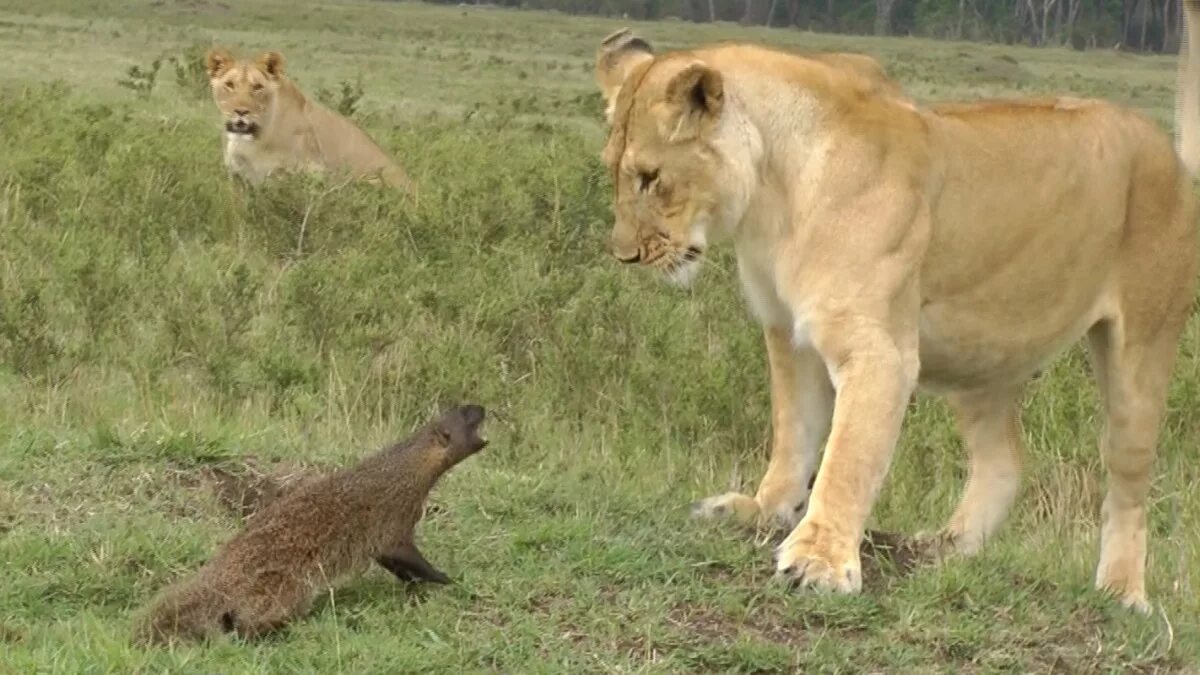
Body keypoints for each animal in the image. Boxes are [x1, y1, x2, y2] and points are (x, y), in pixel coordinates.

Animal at [204, 48, 415, 192]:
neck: (252, 140)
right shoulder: (237, 178)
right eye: (229, 85)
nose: (240, 111)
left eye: (257, 87)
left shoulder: (312, 171)